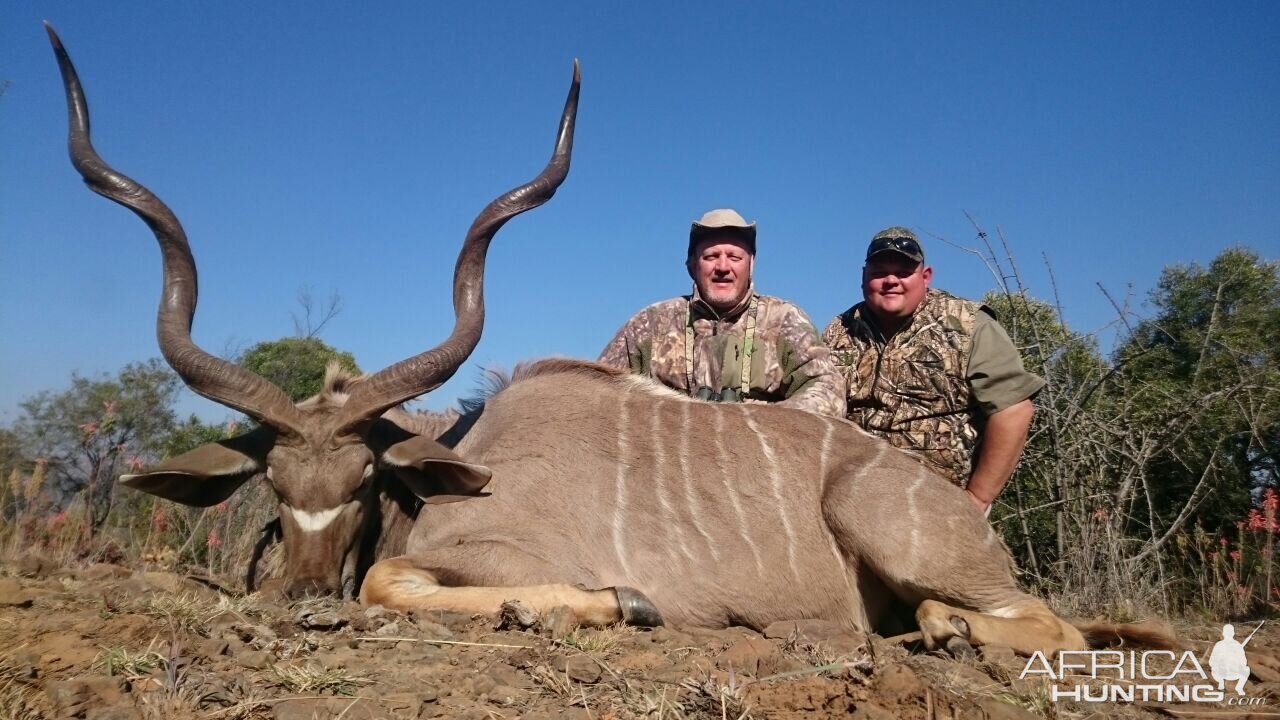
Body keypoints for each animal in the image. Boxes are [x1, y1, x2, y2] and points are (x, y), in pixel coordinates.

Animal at [49, 28, 1172, 655]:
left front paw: (609, 604)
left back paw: (946, 634)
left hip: (898, 534)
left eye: (366, 482)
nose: (302, 601)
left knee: (1049, 622)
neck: (459, 467)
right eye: (274, 488)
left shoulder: (493, 553)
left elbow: (391, 582)